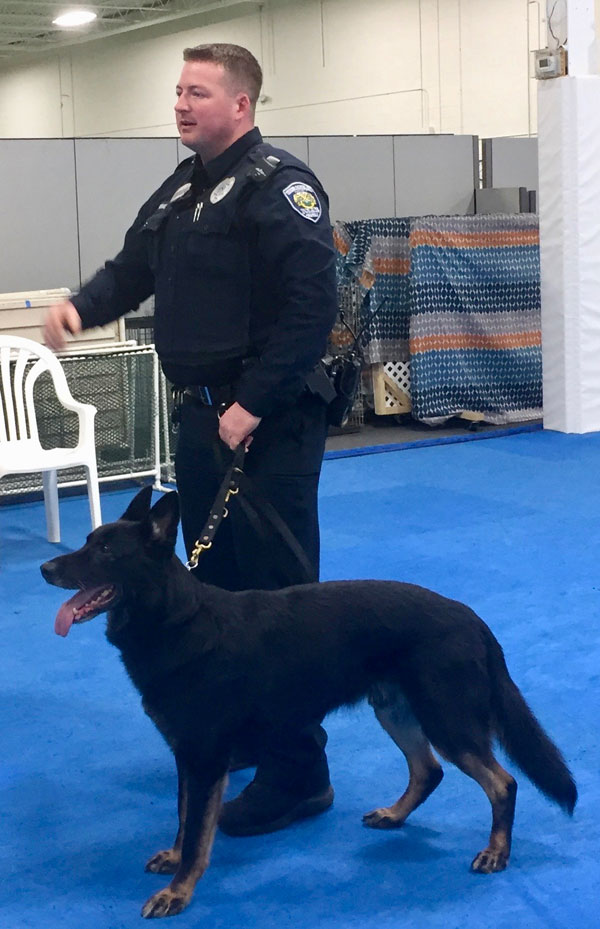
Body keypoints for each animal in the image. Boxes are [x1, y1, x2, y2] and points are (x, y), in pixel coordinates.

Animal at [41, 490, 576, 916]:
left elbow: (196, 834)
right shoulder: (187, 757)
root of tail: (473, 619)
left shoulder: (205, 759)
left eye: (105, 551)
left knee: (502, 783)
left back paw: (496, 852)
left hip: (448, 722)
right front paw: (174, 862)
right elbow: (183, 816)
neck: (177, 620)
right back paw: (396, 815)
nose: (45, 569)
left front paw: (179, 891)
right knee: (428, 771)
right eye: (88, 541)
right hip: (395, 712)